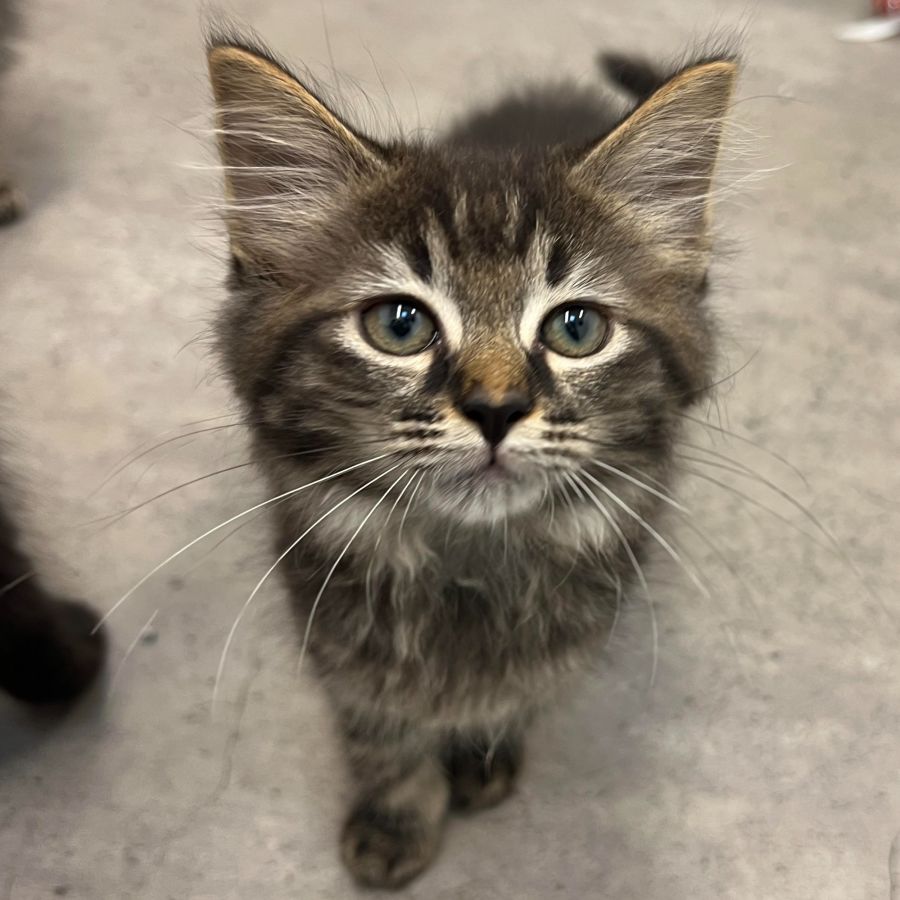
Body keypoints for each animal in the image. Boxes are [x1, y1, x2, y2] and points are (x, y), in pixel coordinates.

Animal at [206, 27, 736, 888]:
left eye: (577, 329)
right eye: (398, 324)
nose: (496, 407)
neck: (469, 567)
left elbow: (516, 695)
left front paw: (482, 753)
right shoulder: (337, 633)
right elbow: (380, 733)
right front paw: (397, 817)